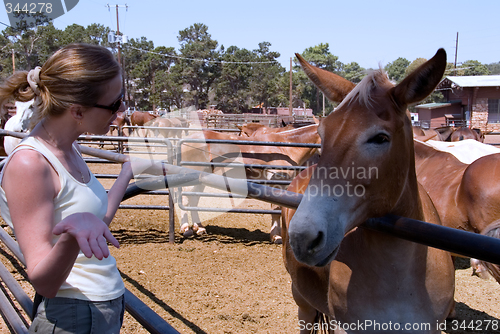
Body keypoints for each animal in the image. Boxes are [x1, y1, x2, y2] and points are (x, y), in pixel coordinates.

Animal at [180, 125, 320, 243]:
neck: (286, 147)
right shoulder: (277, 184)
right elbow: (276, 210)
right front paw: (276, 236)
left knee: (193, 201)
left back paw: (199, 228)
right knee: (185, 200)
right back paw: (186, 228)